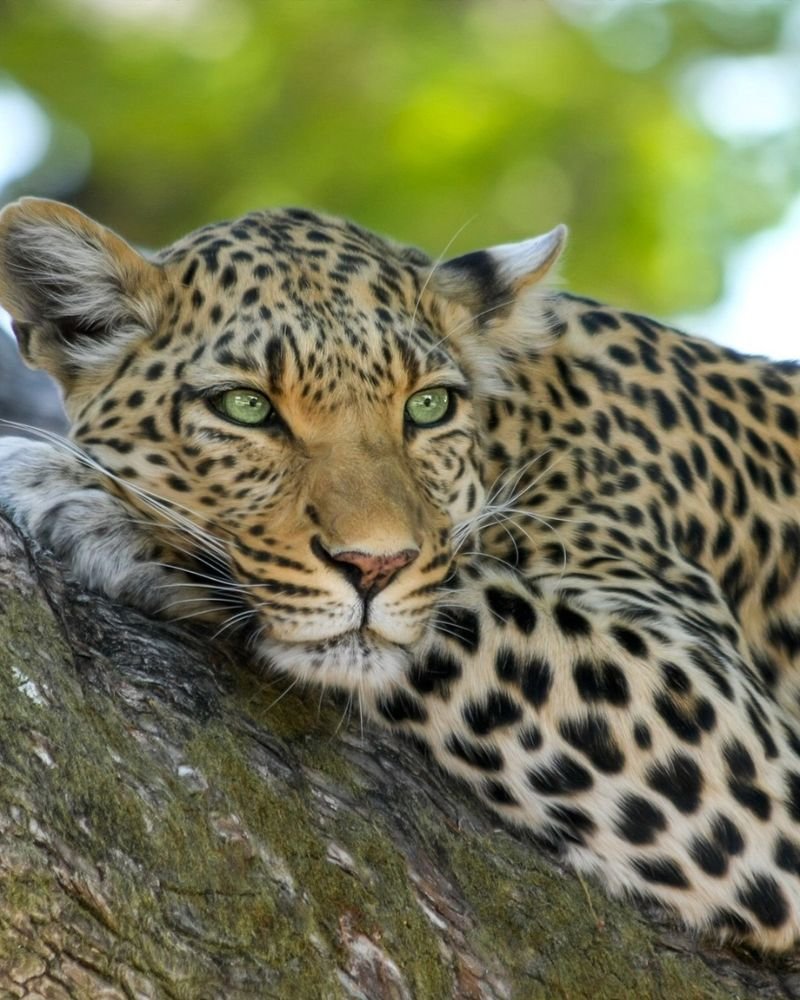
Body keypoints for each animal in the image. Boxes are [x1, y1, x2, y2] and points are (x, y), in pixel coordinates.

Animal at [2, 196, 800, 952]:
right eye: (246, 407)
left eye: (428, 405)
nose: (373, 565)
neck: (520, 427)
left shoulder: (731, 724)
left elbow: (459, 598)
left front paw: (85, 500)